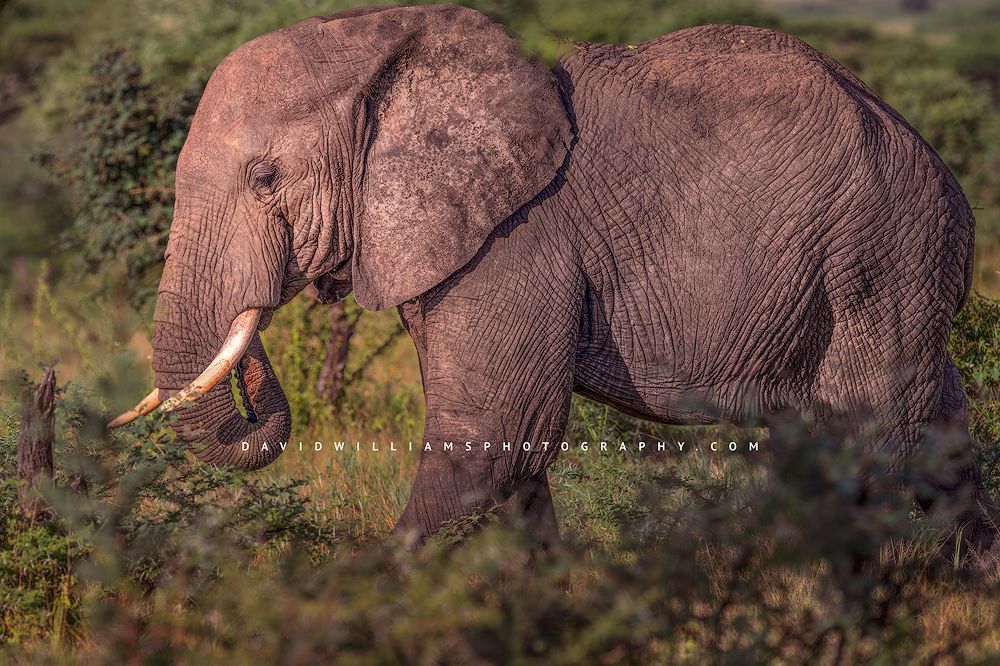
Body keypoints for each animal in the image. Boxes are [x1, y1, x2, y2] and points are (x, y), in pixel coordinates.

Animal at [111, 4, 990, 552]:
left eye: (265, 179)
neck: (385, 41)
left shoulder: (519, 239)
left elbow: (491, 433)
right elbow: (512, 451)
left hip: (879, 261)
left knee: (876, 446)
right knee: (938, 437)